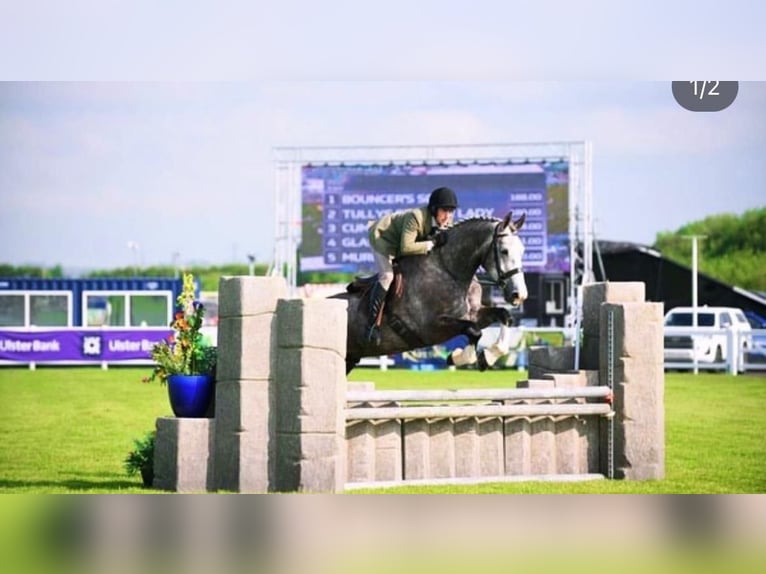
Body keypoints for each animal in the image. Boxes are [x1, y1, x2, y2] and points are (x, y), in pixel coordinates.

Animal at [332, 214, 532, 376]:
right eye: (504, 251)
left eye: (523, 250)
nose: (519, 295)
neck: (448, 271)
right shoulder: (430, 328)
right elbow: (473, 331)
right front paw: (460, 358)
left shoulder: (472, 314)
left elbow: (503, 315)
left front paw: (488, 357)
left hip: (350, 358)